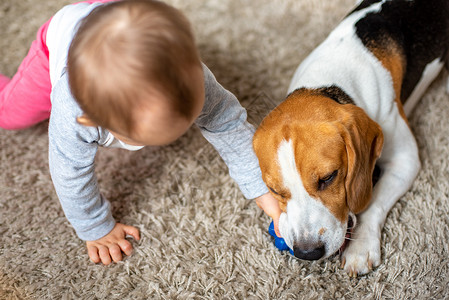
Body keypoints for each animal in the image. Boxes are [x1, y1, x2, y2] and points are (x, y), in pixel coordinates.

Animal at [254, 0, 446, 276]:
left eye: (328, 178)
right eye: (274, 190)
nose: (308, 252)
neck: (328, 83)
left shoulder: (405, 161)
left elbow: (373, 202)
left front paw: (360, 247)